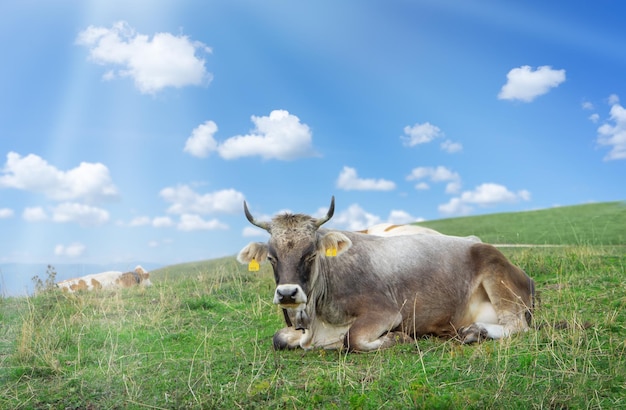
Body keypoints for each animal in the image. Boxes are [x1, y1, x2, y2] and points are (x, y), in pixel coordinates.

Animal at [236, 197, 532, 350]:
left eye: (310, 254)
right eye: (271, 258)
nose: (287, 293)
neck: (316, 320)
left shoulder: (386, 312)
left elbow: (353, 338)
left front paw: (397, 338)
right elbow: (278, 339)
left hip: (497, 275)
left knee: (518, 325)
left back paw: (475, 331)